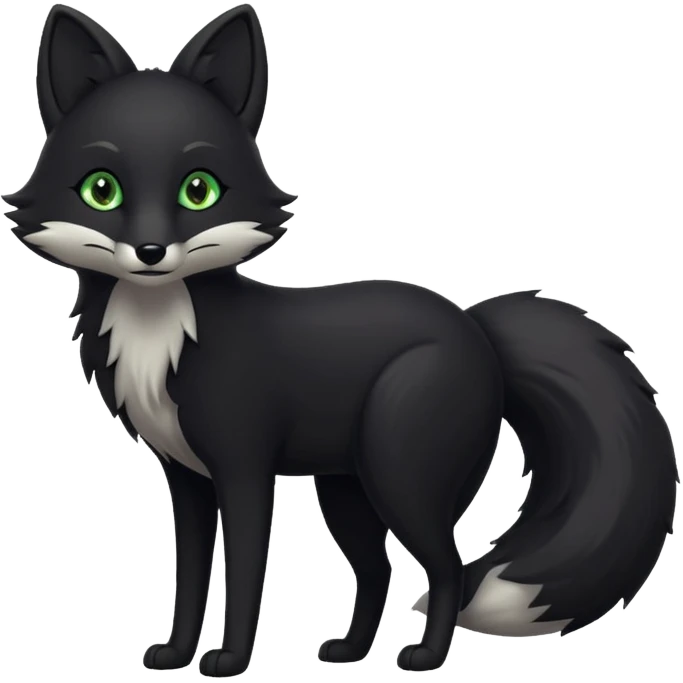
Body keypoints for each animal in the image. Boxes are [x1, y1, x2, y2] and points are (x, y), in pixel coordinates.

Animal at [4, 2, 679, 678]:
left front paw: (229, 660)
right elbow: (190, 576)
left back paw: (424, 657)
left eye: (198, 190)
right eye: (102, 189)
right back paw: (350, 652)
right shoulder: (186, 478)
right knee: (379, 571)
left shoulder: (246, 469)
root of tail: (475, 326)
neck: (162, 334)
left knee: (450, 567)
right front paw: (173, 654)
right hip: (346, 493)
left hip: (400, 479)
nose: (150, 252)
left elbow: (244, 572)